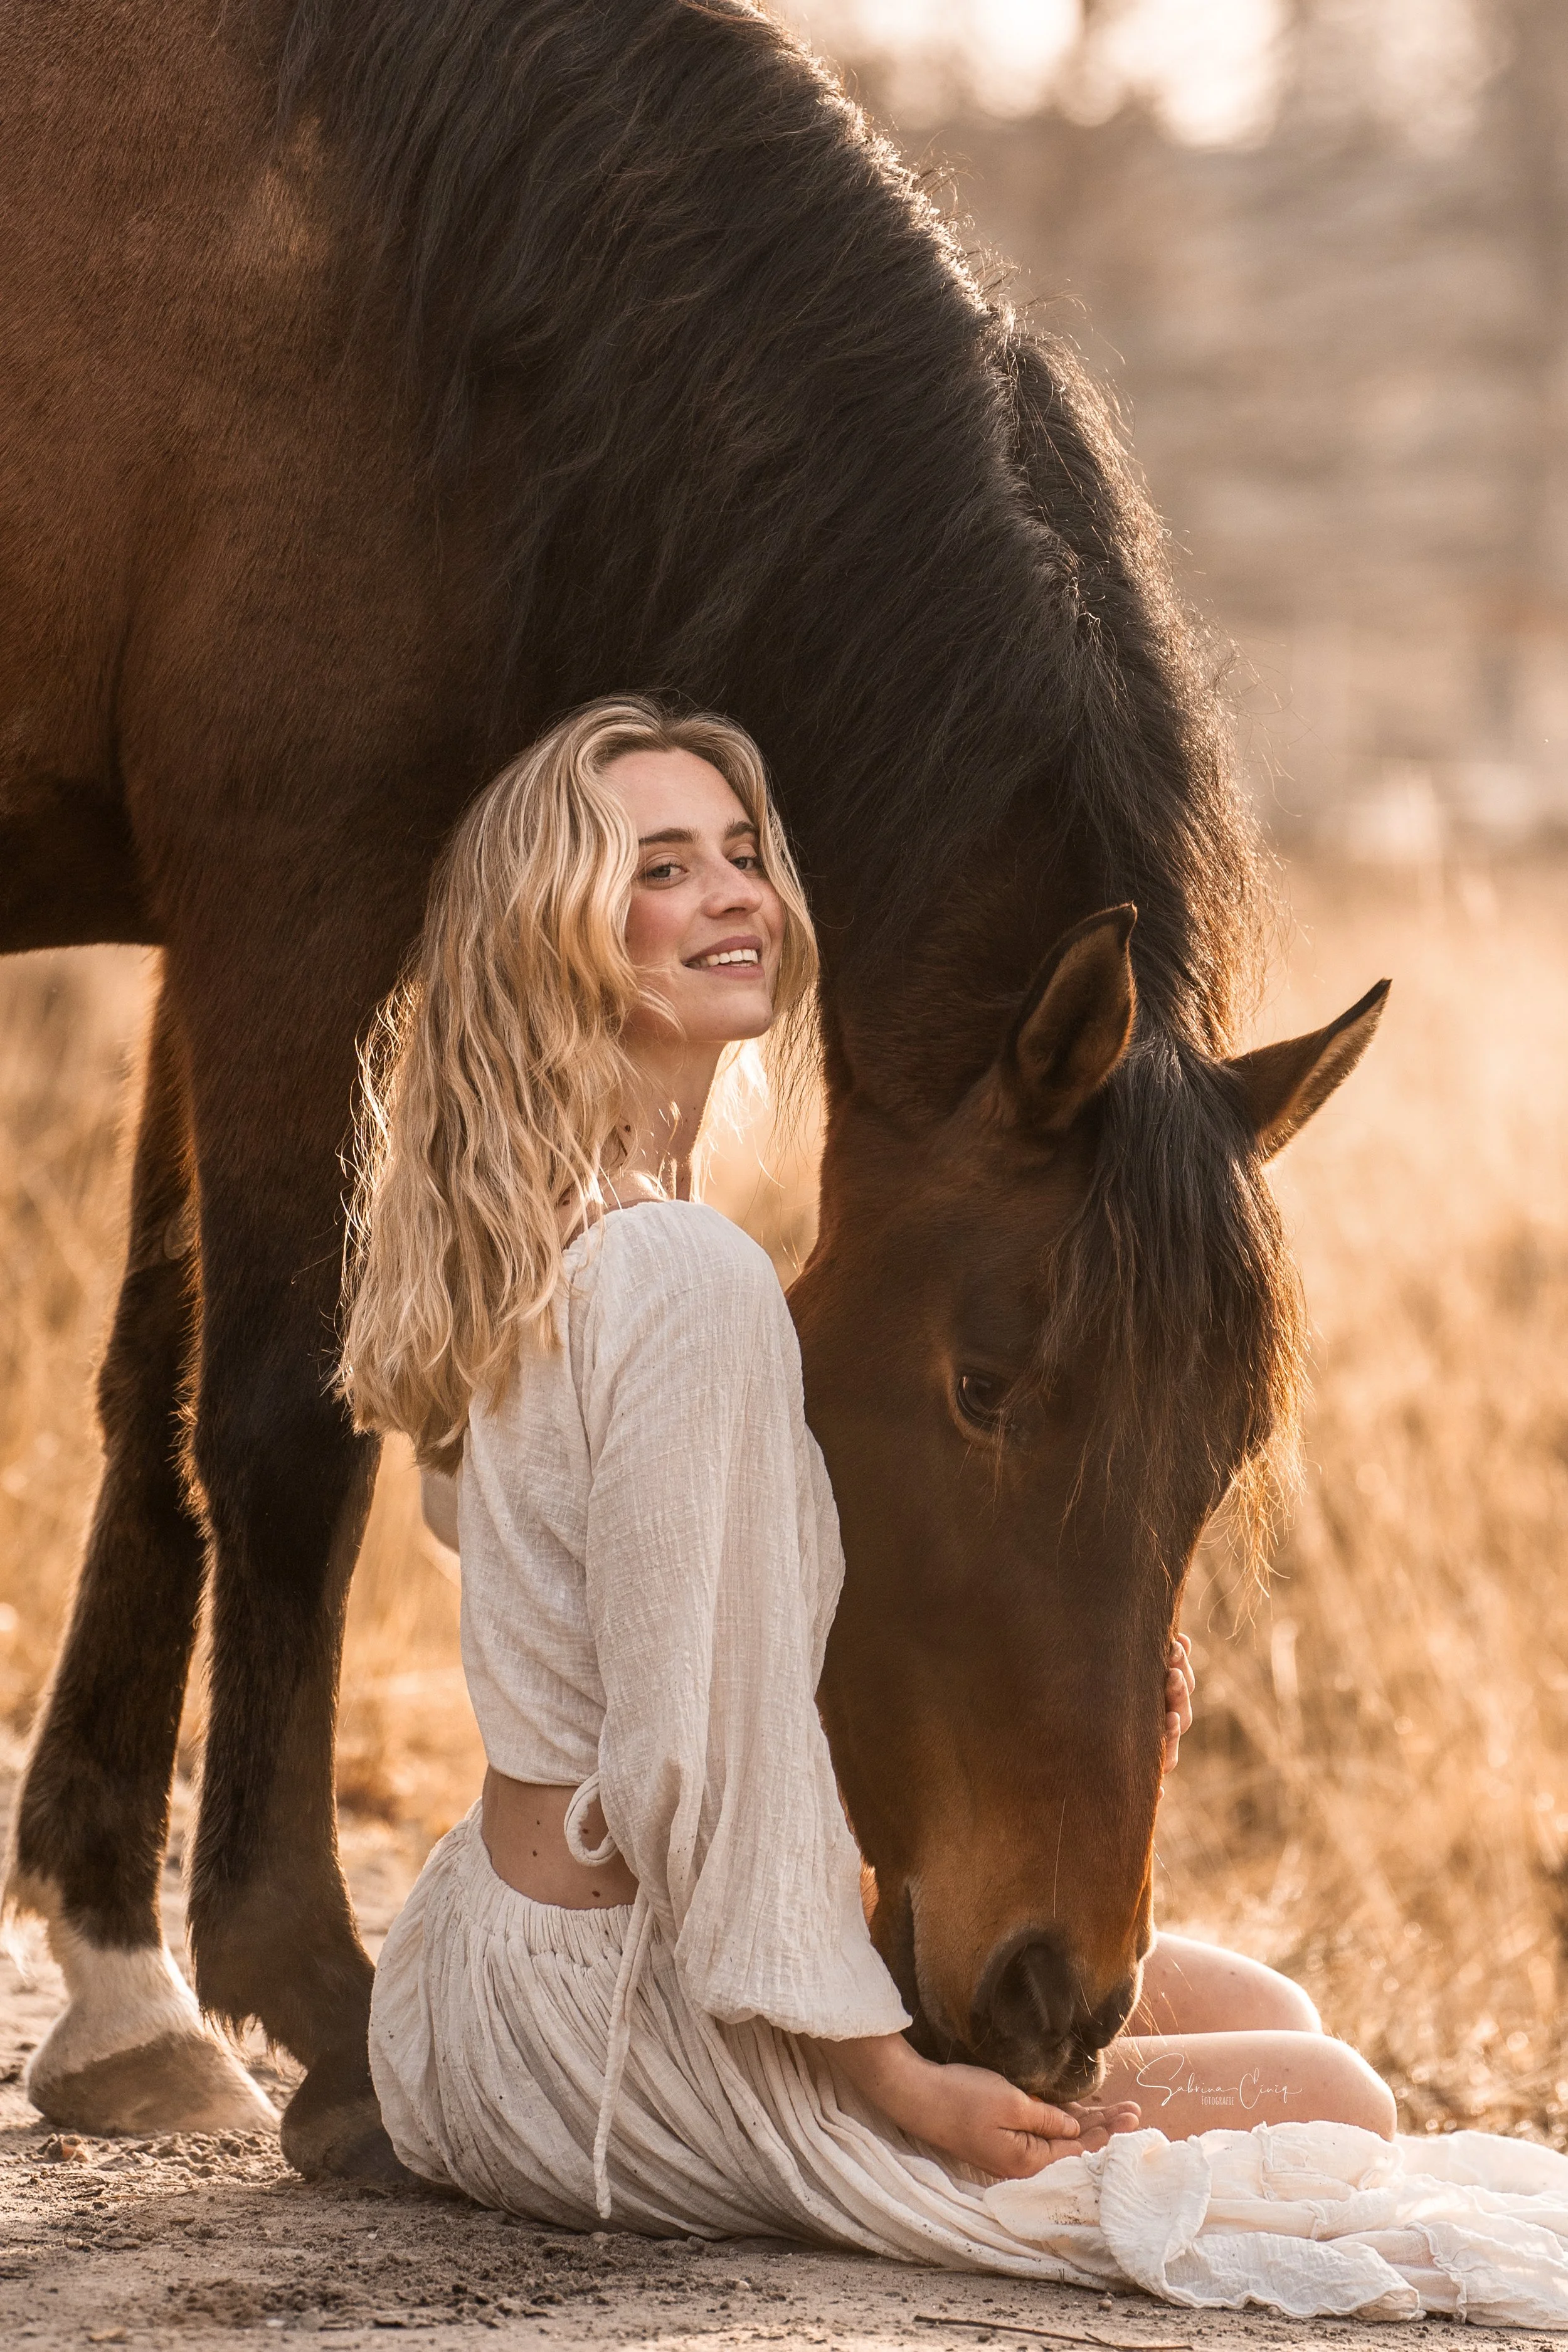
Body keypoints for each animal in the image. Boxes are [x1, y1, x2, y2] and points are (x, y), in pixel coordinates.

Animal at [0, 0, 1386, 2176]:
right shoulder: (288, 894)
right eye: (985, 1386)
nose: (1057, 2002)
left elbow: (150, 1403)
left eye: (1226, 1439)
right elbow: (287, 1417)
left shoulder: (208, 931)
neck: (425, 297)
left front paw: (124, 1980)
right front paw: (322, 1999)